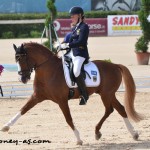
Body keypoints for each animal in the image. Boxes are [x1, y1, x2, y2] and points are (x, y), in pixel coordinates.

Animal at [1, 42, 142, 144]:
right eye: (16, 59)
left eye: (23, 58)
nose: (22, 79)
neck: (49, 71)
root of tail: (115, 65)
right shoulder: (37, 97)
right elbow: (23, 109)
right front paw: (6, 126)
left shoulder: (62, 100)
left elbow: (68, 119)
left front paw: (79, 139)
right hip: (108, 94)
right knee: (119, 109)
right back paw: (131, 134)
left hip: (106, 94)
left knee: (111, 110)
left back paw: (100, 132)